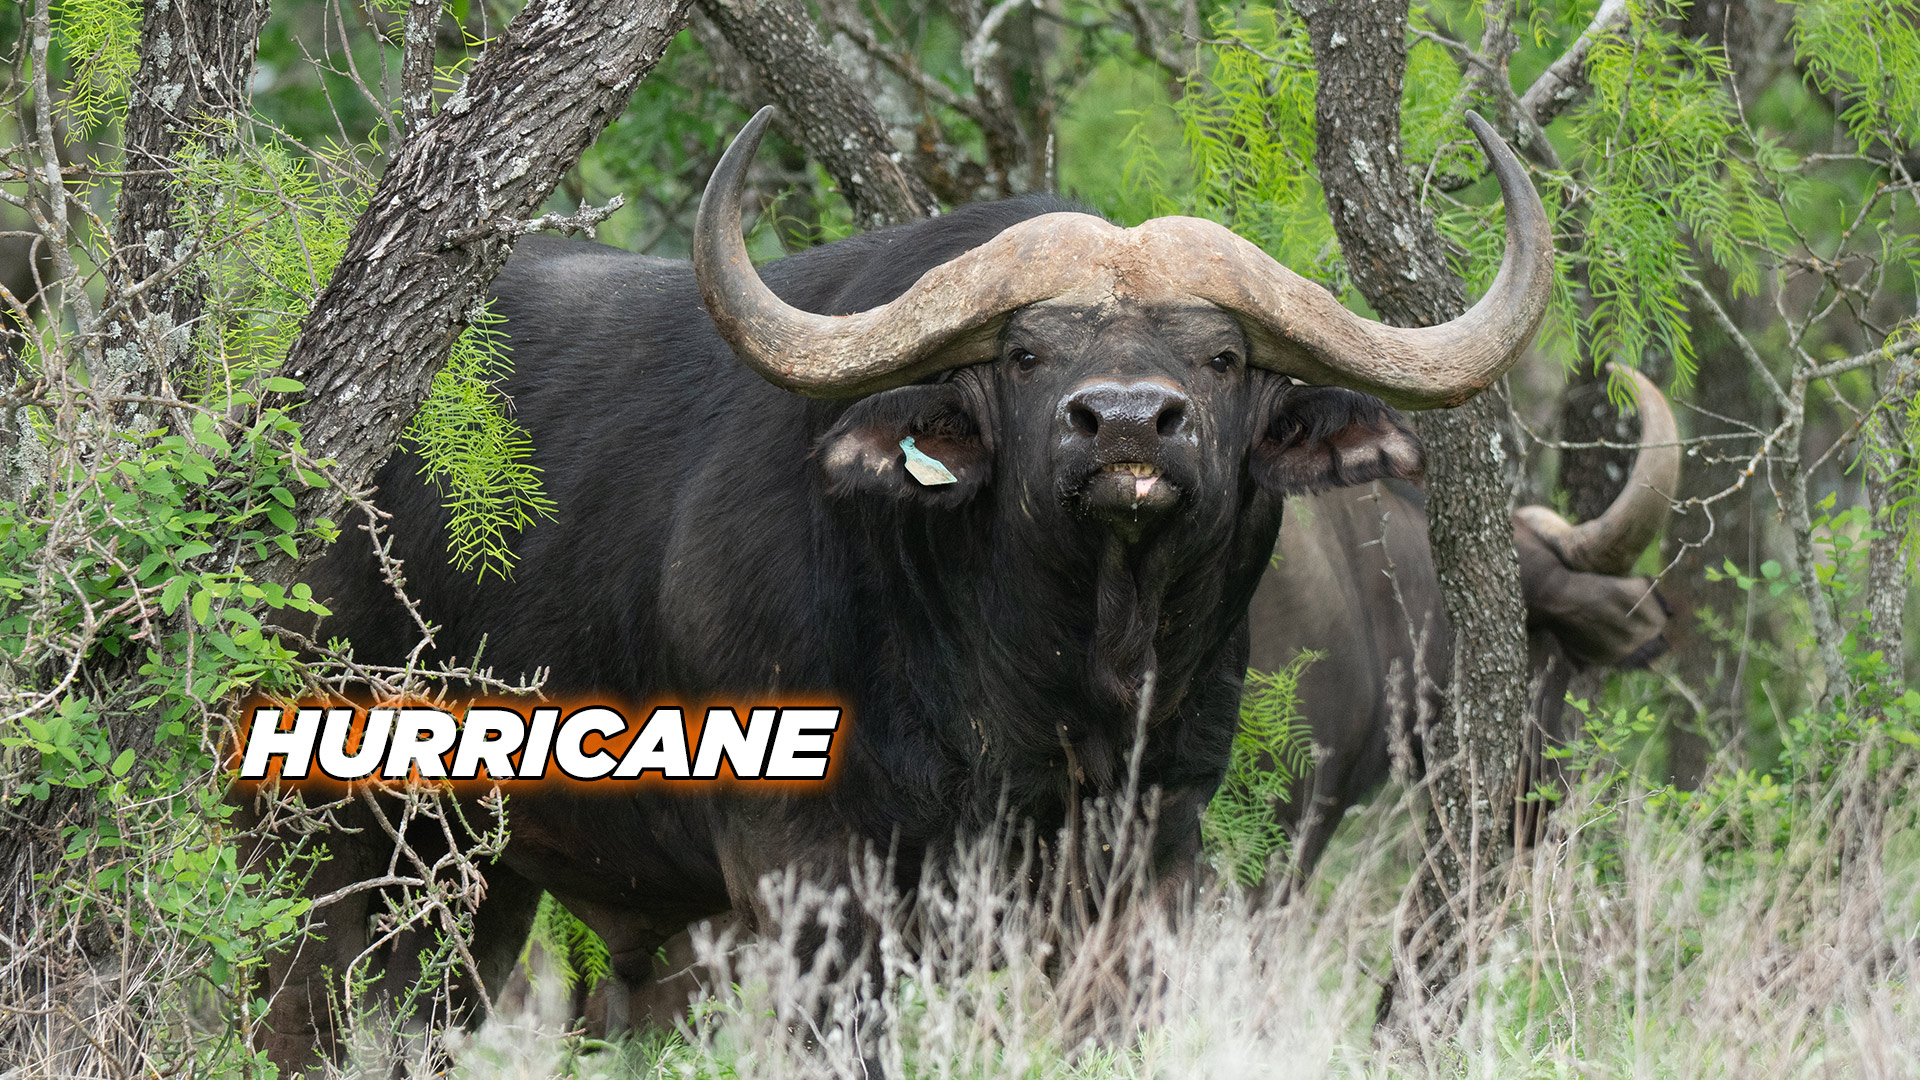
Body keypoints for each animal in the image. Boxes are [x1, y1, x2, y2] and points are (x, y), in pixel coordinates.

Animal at [261, 106, 1552, 1070]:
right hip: (321, 835)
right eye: (1026, 354)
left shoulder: (1149, 865)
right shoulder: (808, 885)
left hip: (477, 874)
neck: (1039, 693)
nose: (1128, 425)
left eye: (1223, 357)